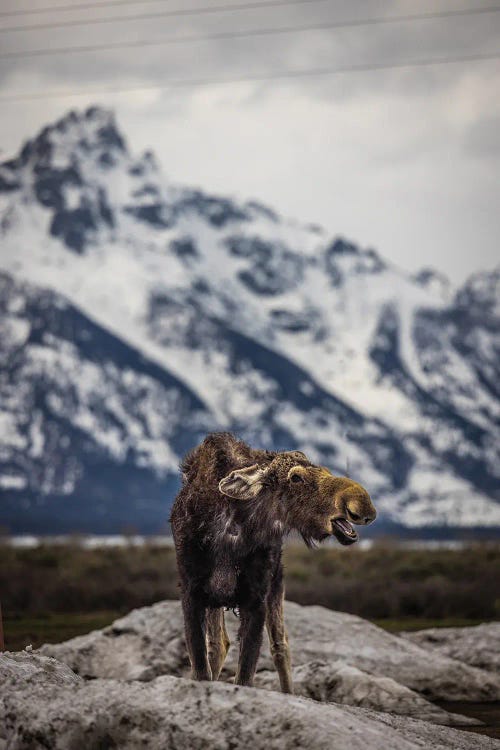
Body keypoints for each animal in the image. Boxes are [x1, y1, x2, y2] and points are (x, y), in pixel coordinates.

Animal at [170, 432, 376, 696]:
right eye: (296, 477)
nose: (361, 504)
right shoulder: (191, 592)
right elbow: (201, 668)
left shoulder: (256, 598)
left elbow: (245, 675)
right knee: (219, 644)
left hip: (276, 583)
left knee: (280, 645)